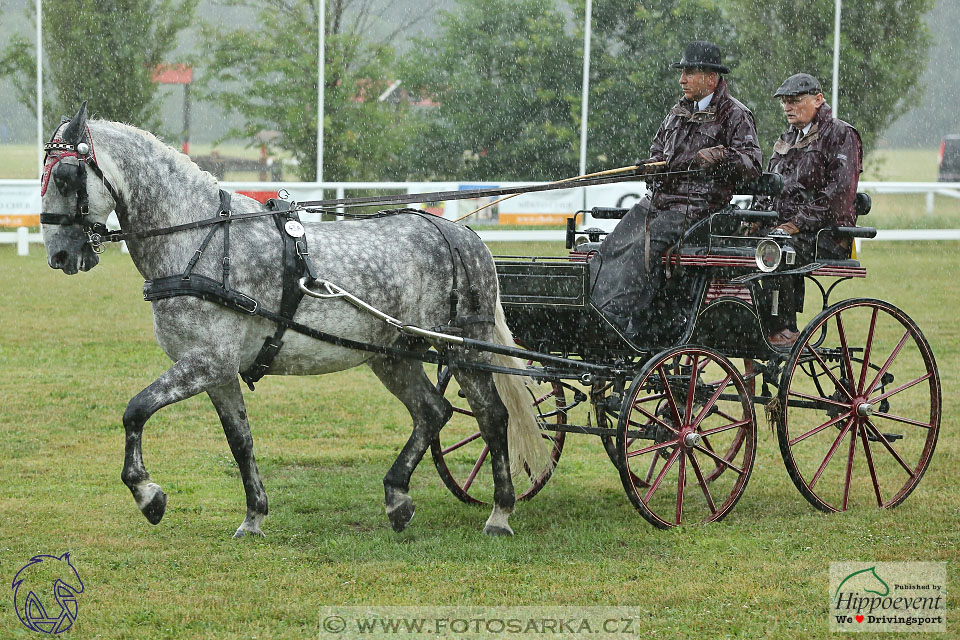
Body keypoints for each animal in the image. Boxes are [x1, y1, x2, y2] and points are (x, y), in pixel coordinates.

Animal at [39, 104, 548, 536]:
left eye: (64, 176)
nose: (58, 255)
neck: (200, 240)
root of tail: (458, 232)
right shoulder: (218, 372)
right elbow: (240, 441)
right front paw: (253, 517)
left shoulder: (205, 362)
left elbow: (136, 410)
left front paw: (149, 496)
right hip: (393, 354)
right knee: (433, 411)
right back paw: (397, 498)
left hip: (463, 347)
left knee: (492, 417)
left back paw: (500, 512)